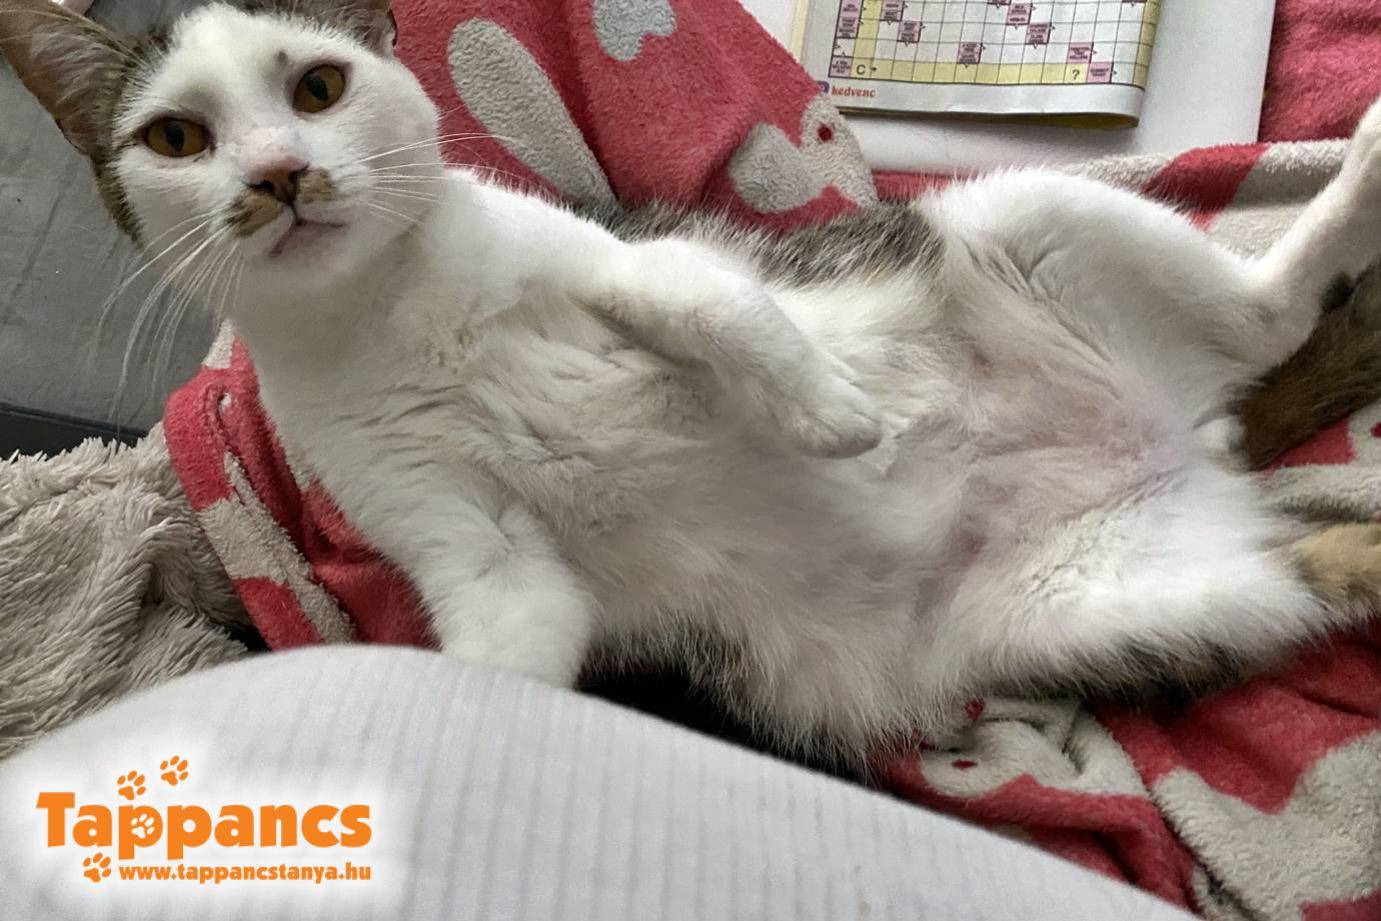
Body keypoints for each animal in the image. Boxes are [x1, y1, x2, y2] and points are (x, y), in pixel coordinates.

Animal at [5, 0, 1381, 762]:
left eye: (318, 85)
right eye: (176, 137)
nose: (279, 176)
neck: (383, 311)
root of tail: (1188, 439)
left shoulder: (619, 249)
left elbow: (704, 297)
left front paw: (827, 412)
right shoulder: (464, 542)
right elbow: (501, 637)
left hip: (1025, 219)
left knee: (1263, 311)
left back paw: (1355, 178)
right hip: (1100, 603)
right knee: (1312, 556)